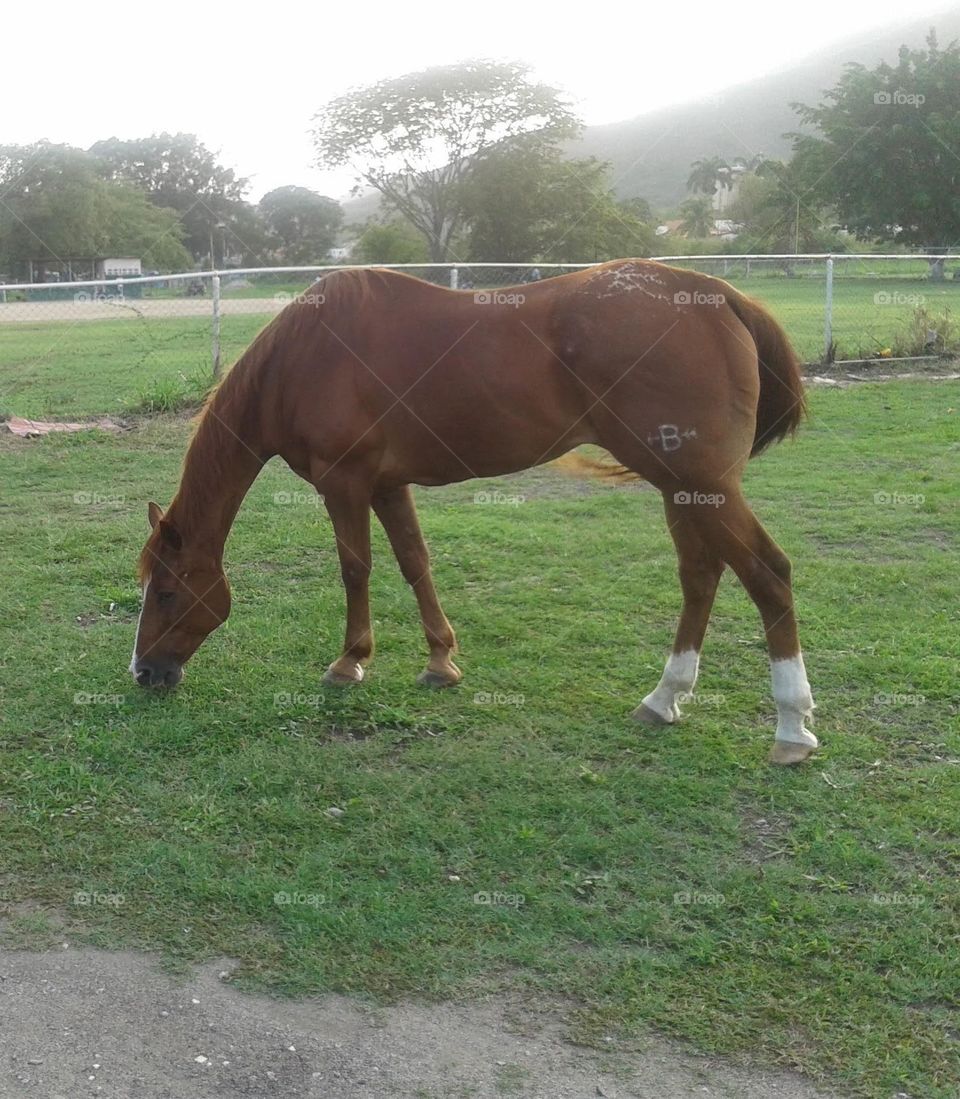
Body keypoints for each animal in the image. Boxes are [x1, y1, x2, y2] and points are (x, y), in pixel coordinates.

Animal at [127, 262, 817, 769]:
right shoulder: (388, 486)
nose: (144, 673)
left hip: (702, 487)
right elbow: (414, 563)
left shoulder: (344, 484)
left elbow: (356, 569)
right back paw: (664, 699)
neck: (302, 360)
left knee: (768, 574)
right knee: (701, 576)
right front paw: (440, 661)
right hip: (683, 491)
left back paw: (791, 728)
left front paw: (350, 662)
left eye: (166, 592)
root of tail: (721, 296)